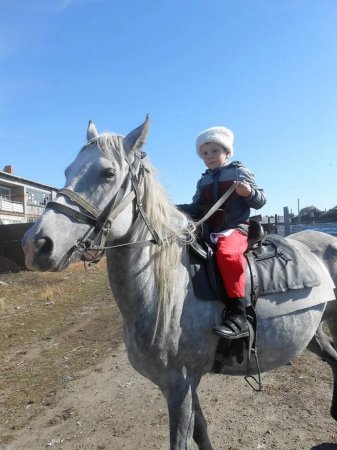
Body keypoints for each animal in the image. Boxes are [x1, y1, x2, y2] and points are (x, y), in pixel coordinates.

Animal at [23, 117, 336, 450]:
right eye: (68, 171)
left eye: (108, 173)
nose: (35, 245)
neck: (167, 292)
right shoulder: (180, 386)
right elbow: (199, 431)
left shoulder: (179, 384)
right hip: (314, 331)